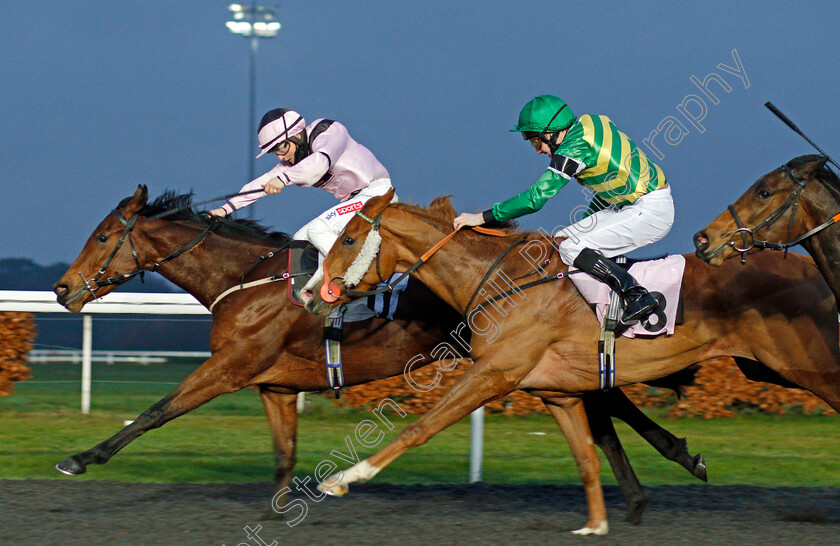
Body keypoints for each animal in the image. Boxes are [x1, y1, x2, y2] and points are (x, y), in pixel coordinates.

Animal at [52, 186, 704, 524]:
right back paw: (649, 483)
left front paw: (80, 458)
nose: (61, 289)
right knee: (603, 403)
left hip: (517, 354)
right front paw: (280, 508)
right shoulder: (275, 386)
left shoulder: (232, 366)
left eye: (104, 235)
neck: (247, 281)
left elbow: (156, 411)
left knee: (607, 402)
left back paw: (666, 468)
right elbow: (283, 456)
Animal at [306, 186, 840, 532]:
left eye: (348, 239)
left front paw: (344, 479)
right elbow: (587, 456)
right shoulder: (556, 391)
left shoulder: (495, 373)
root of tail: (810, 267)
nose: (312, 293)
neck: (502, 281)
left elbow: (420, 427)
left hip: (810, 367)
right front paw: (597, 524)